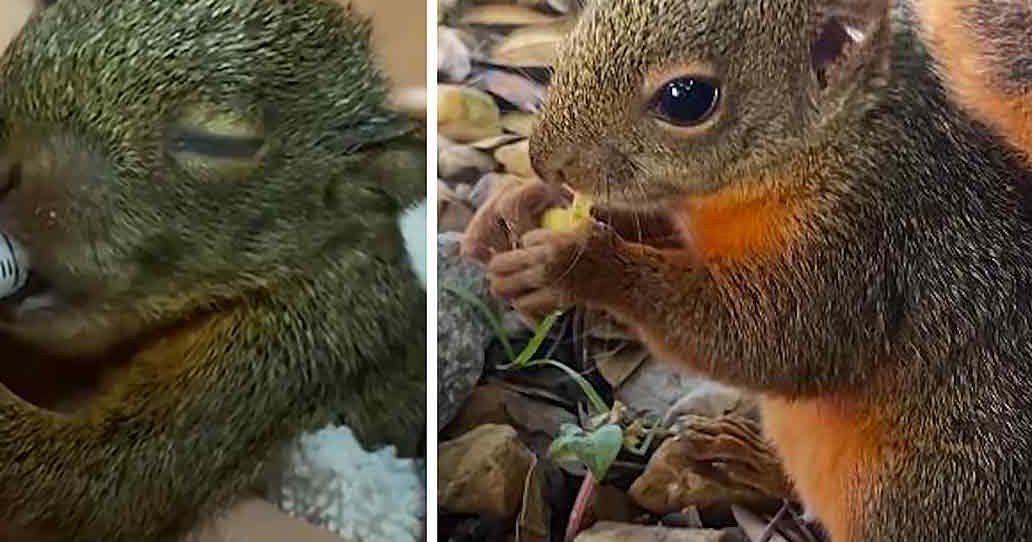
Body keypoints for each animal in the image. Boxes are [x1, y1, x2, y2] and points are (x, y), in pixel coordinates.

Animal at [463, 0, 1032, 540]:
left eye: (686, 98)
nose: (542, 161)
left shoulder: (868, 241)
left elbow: (767, 341)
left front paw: (580, 265)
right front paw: (514, 211)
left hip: (922, 491)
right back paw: (744, 460)